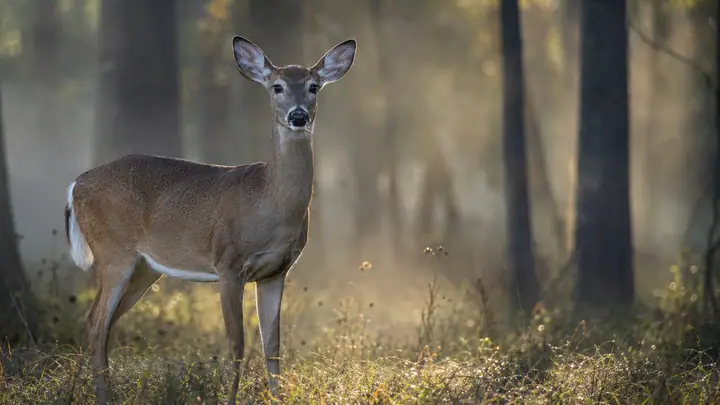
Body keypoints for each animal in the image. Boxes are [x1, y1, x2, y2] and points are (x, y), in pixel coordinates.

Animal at [64, 36, 357, 404]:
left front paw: (277, 397)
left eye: (313, 87)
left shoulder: (276, 271)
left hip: (145, 268)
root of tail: (76, 184)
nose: (299, 115)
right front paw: (230, 398)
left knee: (105, 322)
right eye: (276, 86)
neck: (268, 201)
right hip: (113, 251)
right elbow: (237, 343)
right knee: (95, 320)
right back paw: (102, 395)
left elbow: (273, 346)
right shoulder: (228, 262)